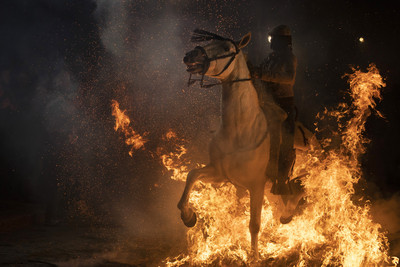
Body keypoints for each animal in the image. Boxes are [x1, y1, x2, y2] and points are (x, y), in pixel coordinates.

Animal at [180, 29, 314, 260]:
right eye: (209, 41)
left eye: (227, 48)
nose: (191, 55)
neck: (240, 129)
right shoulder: (219, 174)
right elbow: (192, 175)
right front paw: (188, 216)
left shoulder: (256, 186)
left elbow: (254, 224)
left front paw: (254, 257)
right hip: (272, 189)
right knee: (288, 201)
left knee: (296, 195)